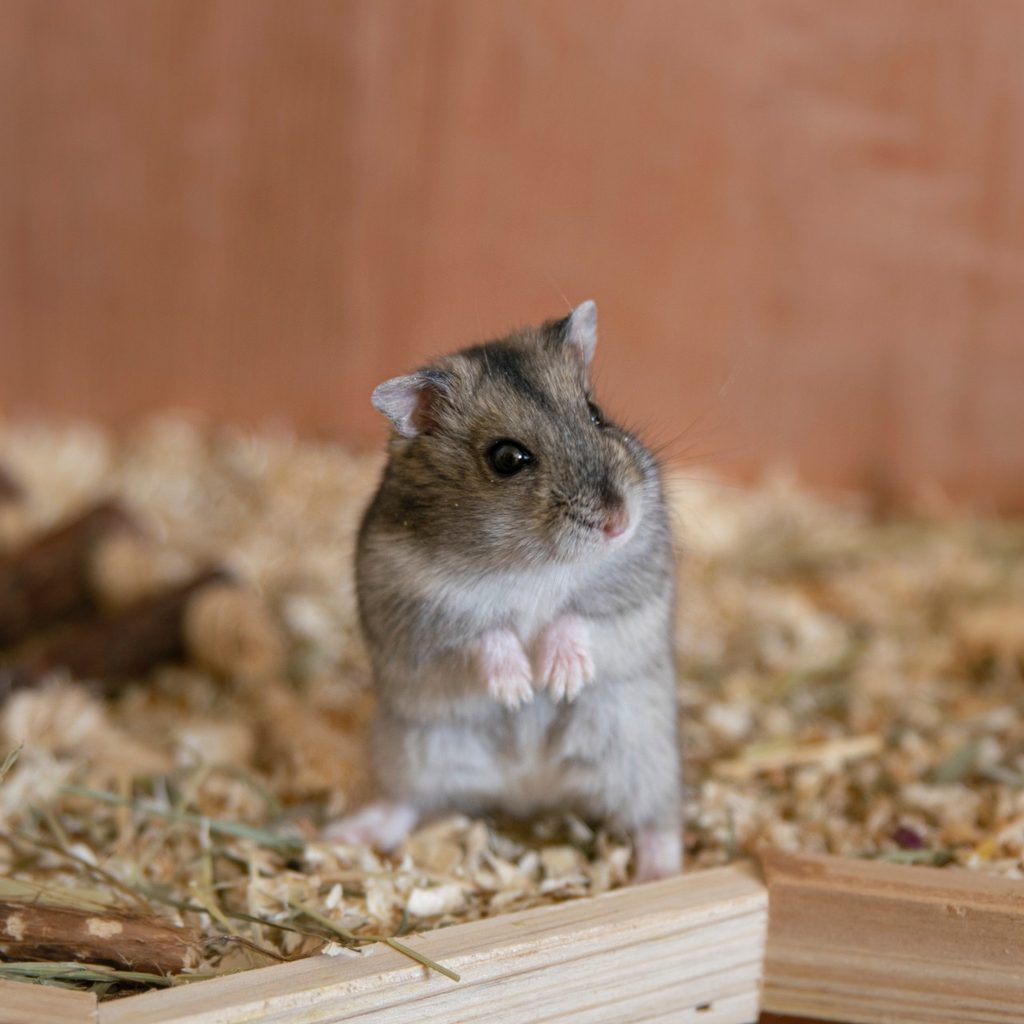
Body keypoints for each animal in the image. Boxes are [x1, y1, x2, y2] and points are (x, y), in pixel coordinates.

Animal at [326, 301, 682, 881]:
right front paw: (518, 689)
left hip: (642, 753)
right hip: (413, 752)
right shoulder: (417, 609)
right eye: (507, 458)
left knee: (658, 821)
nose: (618, 523)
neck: (532, 563)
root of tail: (529, 791)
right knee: (404, 803)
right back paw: (342, 834)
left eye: (595, 412)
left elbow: (577, 616)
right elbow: (483, 633)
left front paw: (559, 681)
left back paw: (659, 875)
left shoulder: (635, 586)